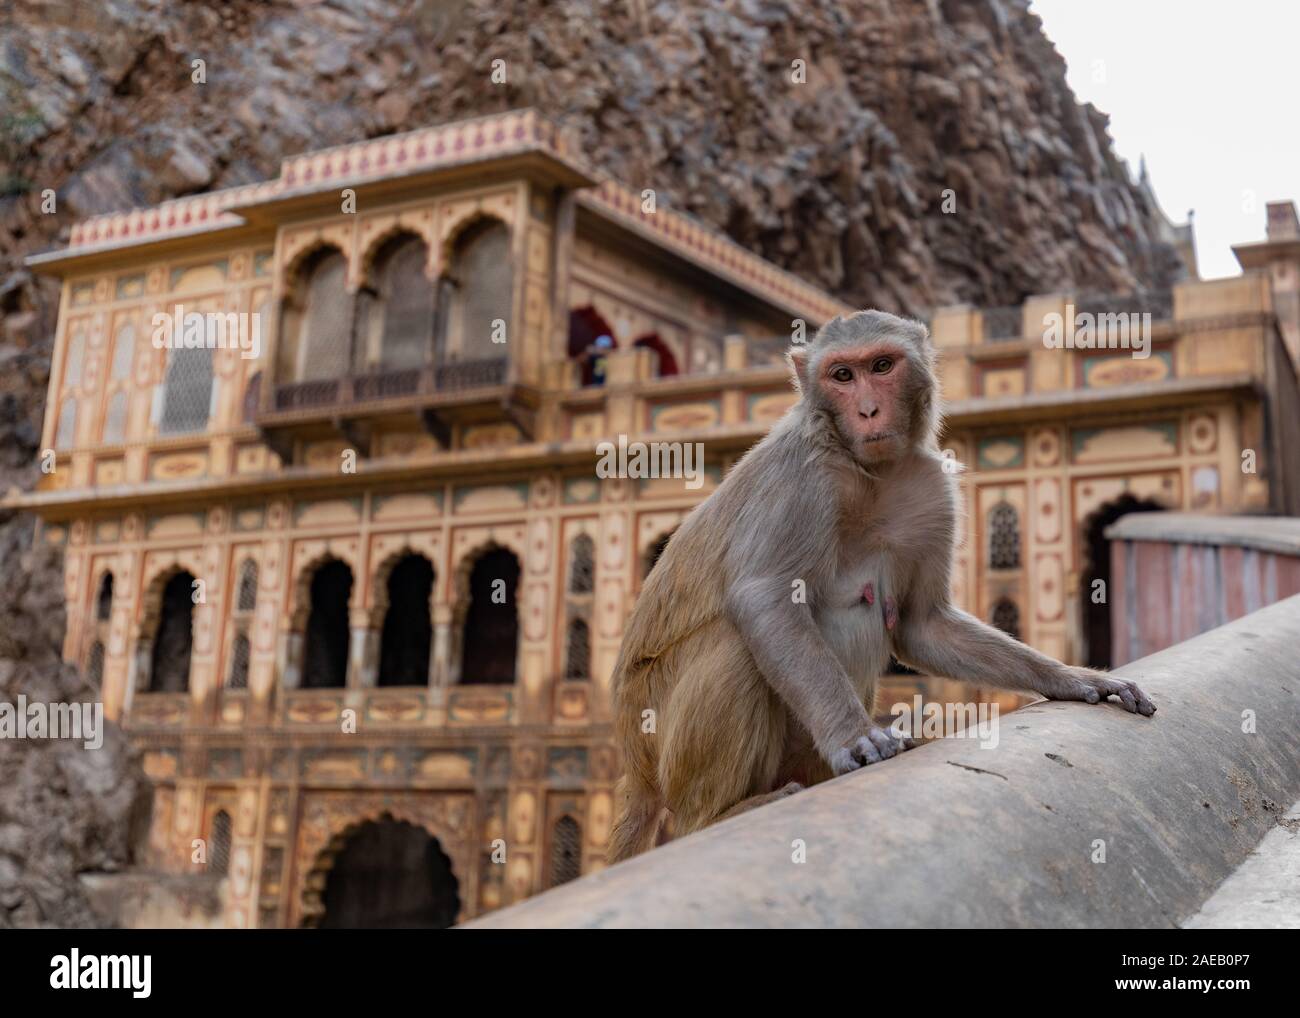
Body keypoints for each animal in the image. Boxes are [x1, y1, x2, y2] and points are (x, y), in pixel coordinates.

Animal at [608, 308, 1159, 858]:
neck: (868, 471)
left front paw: (1073, 678)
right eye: (842, 376)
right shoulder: (801, 474)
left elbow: (922, 623)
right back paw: (718, 814)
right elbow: (764, 597)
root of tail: (634, 764)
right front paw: (855, 735)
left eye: (881, 365)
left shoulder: (932, 487)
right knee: (734, 642)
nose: (869, 410)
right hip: (656, 730)